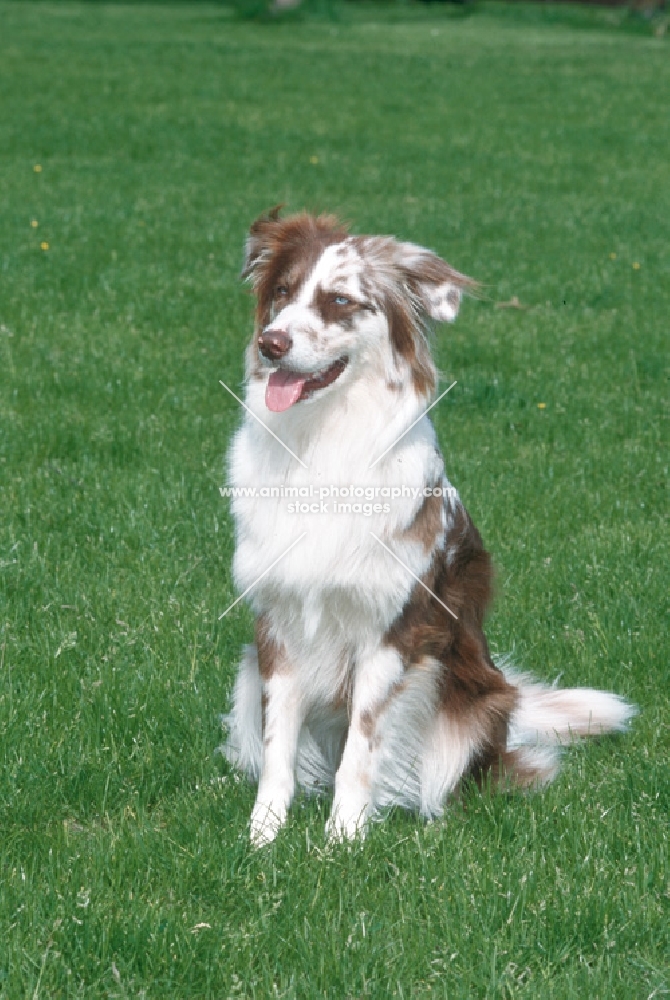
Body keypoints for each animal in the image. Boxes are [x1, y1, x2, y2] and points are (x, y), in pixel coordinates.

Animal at [224, 209, 636, 844]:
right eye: (283, 294)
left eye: (340, 300)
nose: (272, 343)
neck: (322, 441)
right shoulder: (279, 623)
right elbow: (278, 745)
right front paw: (261, 838)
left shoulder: (394, 631)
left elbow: (363, 744)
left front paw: (341, 841)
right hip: (247, 674)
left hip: (465, 703)